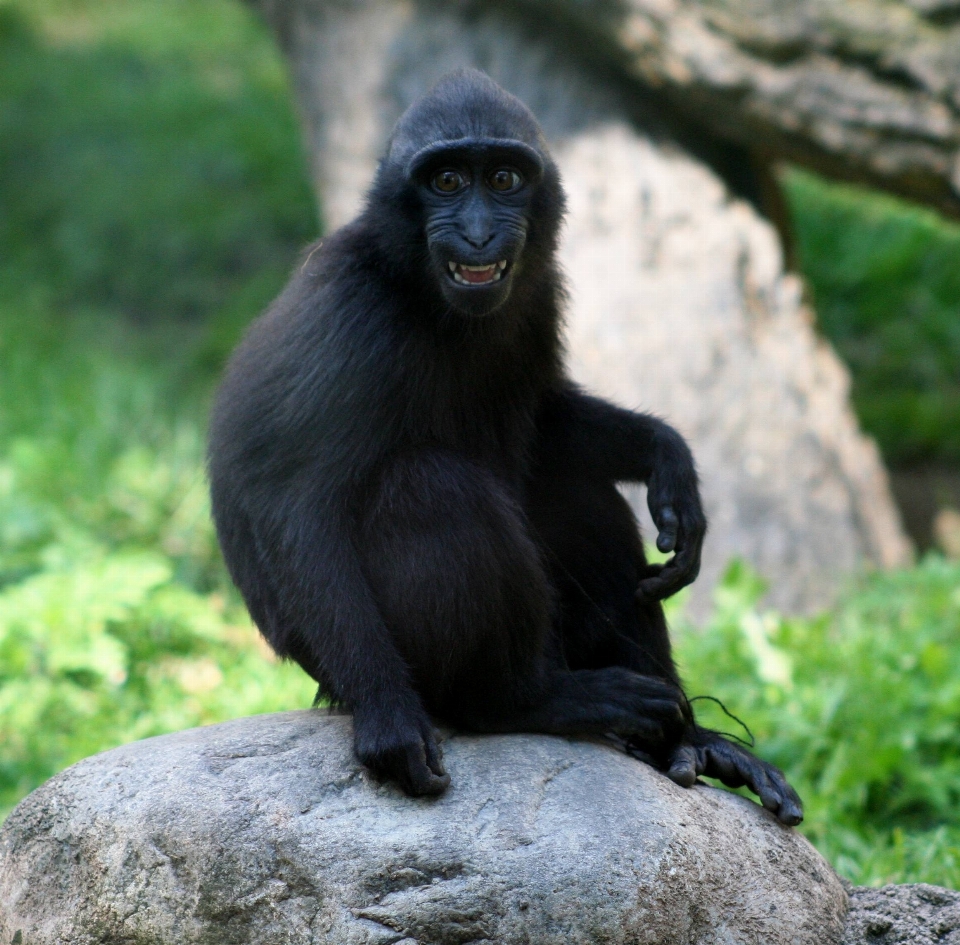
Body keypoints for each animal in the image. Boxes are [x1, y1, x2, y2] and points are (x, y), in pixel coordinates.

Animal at [210, 70, 804, 824]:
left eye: (502, 178)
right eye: (445, 181)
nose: (477, 230)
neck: (422, 293)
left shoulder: (539, 295)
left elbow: (548, 421)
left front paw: (668, 460)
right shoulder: (345, 316)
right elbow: (293, 505)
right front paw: (389, 721)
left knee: (572, 487)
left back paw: (688, 740)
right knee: (431, 488)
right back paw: (527, 699)